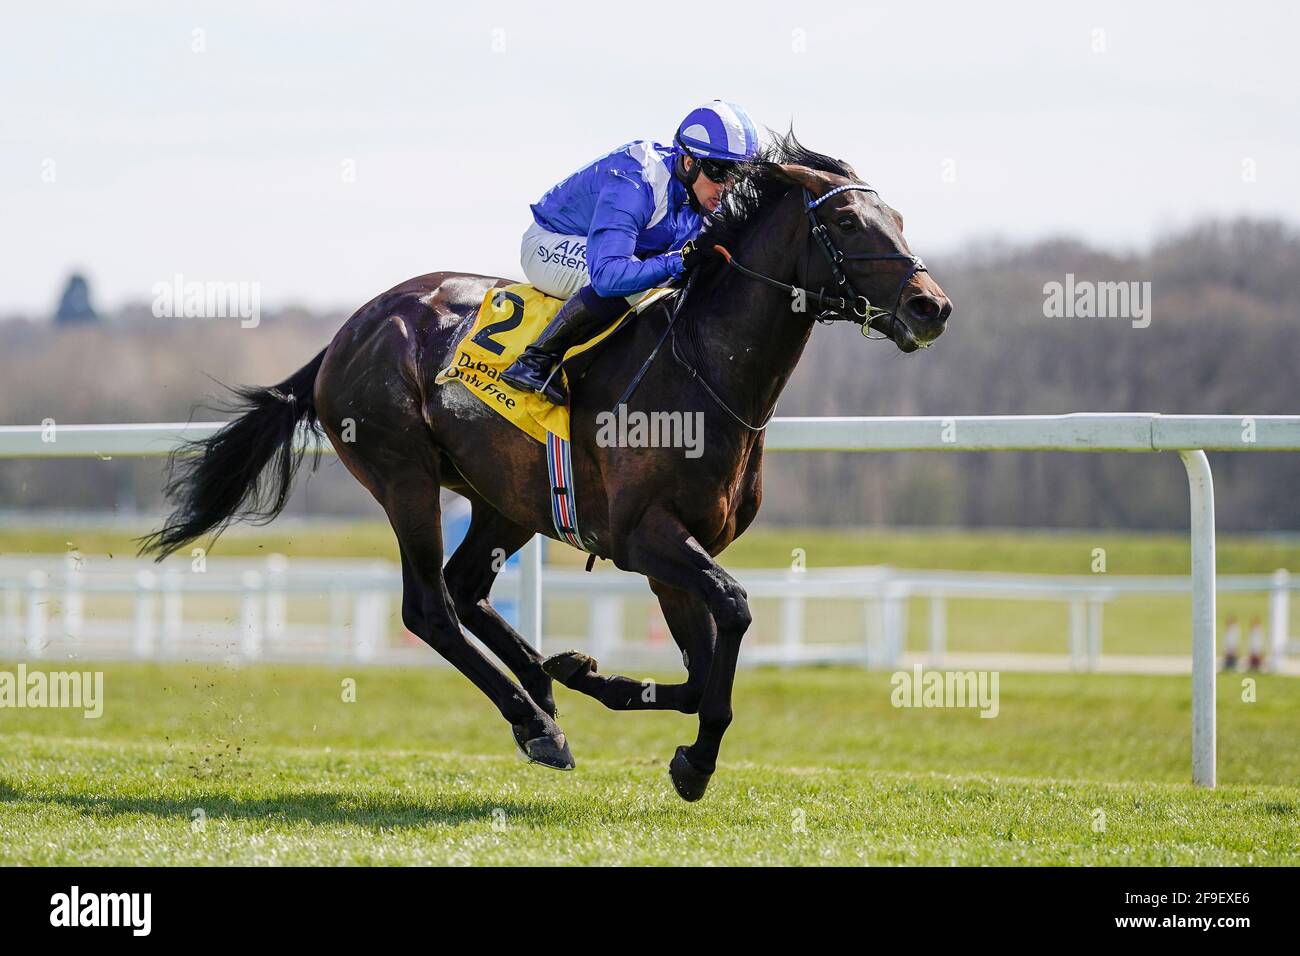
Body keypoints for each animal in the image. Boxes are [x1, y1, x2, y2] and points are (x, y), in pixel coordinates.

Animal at [144, 132, 956, 801]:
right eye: (846, 223)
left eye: (898, 218)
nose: (931, 306)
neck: (702, 372)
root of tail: (352, 329)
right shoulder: (644, 536)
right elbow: (733, 610)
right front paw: (694, 760)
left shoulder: (673, 552)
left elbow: (700, 671)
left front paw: (598, 681)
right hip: (405, 477)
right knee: (429, 607)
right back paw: (535, 722)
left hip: (506, 497)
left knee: (467, 588)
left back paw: (540, 685)